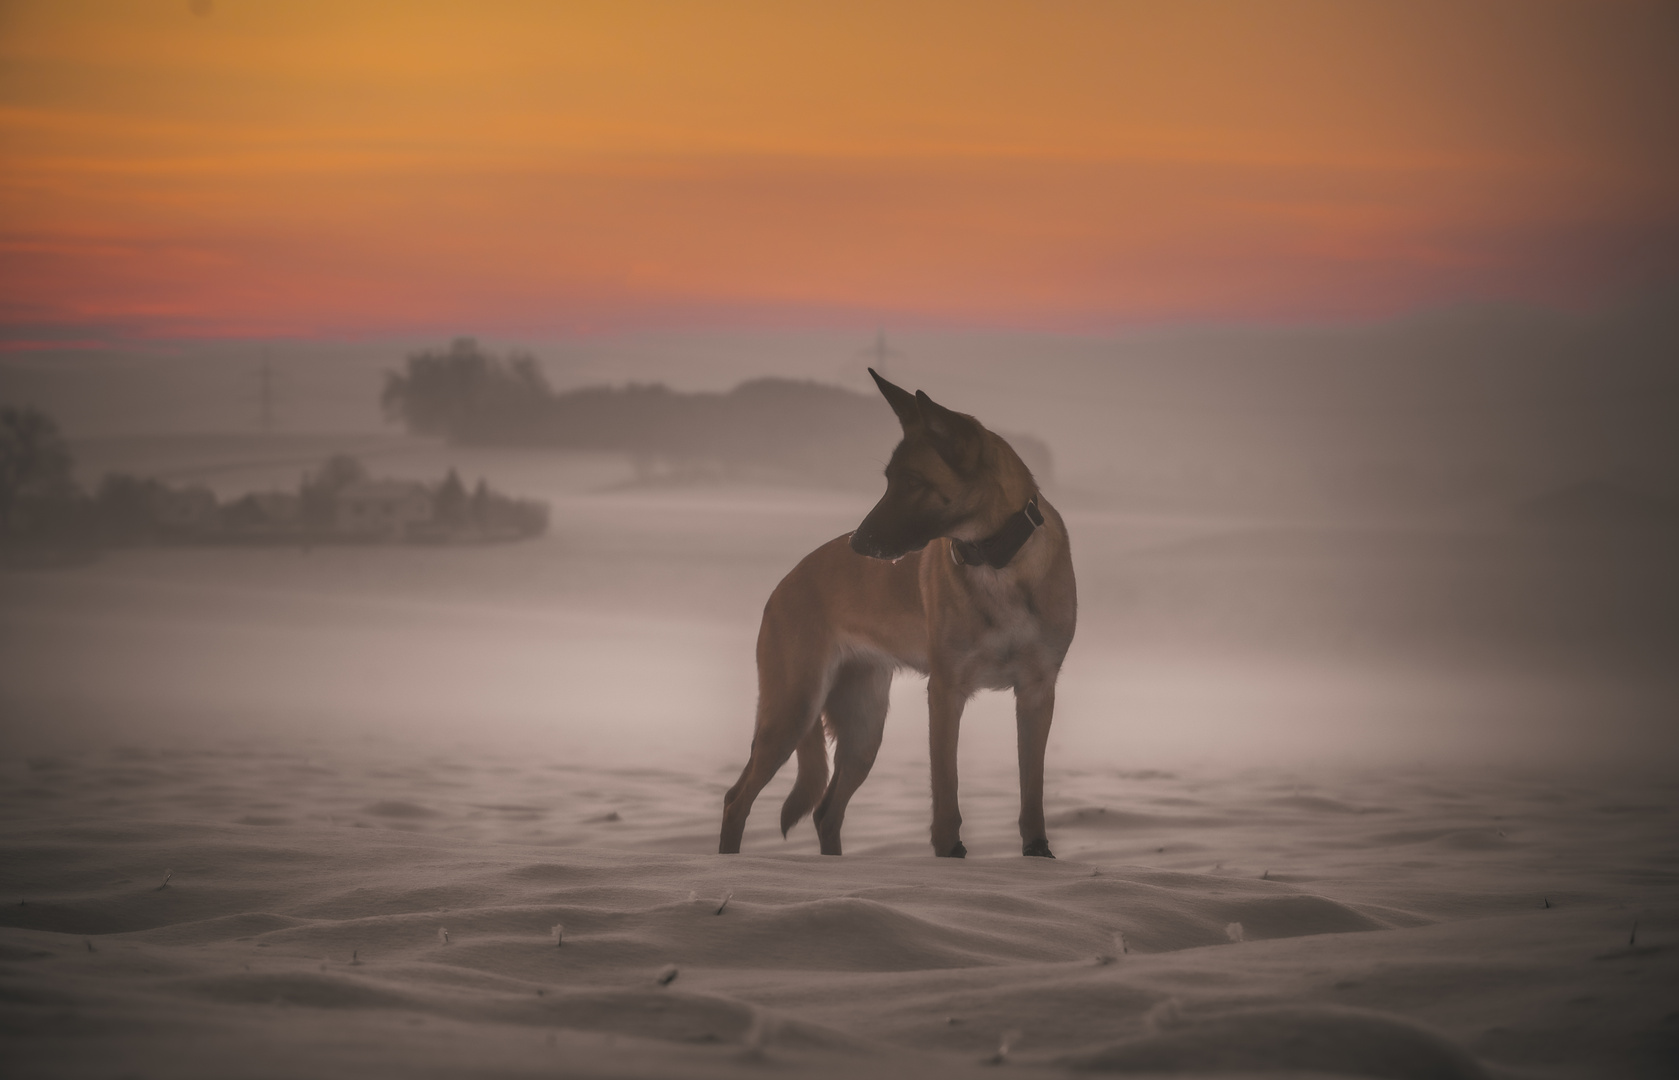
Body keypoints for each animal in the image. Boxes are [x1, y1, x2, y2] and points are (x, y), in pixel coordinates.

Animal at [715, 371, 1067, 859]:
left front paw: (1038, 853)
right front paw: (950, 853)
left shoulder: (1037, 693)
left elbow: (1031, 790)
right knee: (737, 799)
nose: (857, 543)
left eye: (914, 482)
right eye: (888, 480)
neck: (1000, 563)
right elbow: (947, 787)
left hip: (863, 733)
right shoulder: (946, 693)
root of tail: (787, 581)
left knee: (826, 812)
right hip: (792, 710)